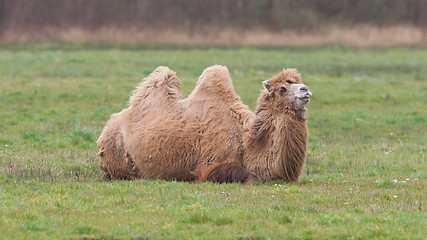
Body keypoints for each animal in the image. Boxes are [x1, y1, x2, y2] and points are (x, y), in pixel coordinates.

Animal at [97, 64, 312, 183]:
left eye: (298, 82)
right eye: (282, 88)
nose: (306, 90)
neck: (246, 142)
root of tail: (106, 129)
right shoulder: (210, 165)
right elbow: (252, 177)